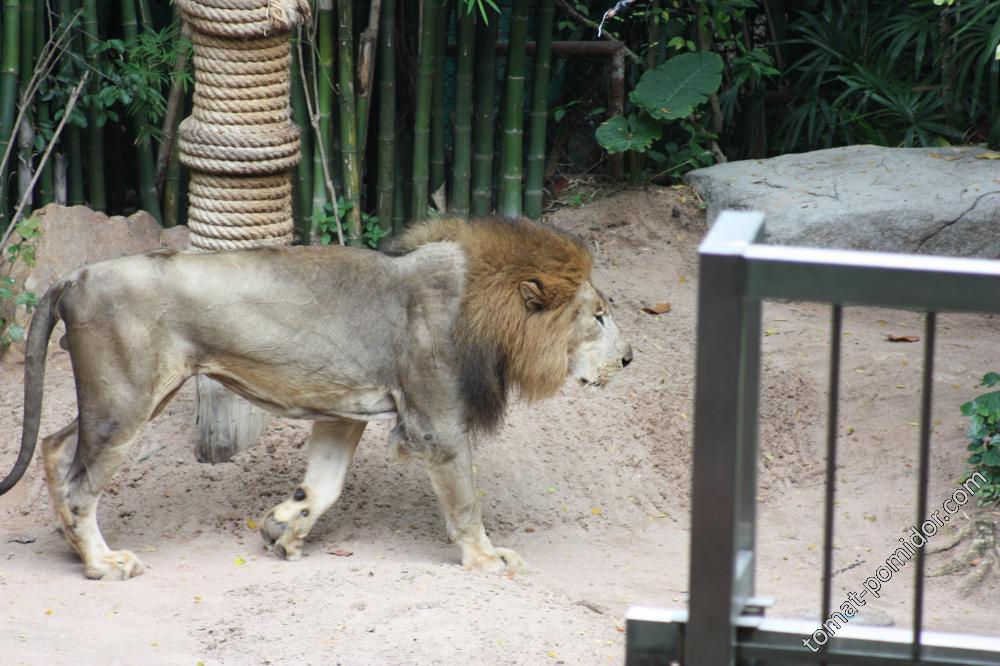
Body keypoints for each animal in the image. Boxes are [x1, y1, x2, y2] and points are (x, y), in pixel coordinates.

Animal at [0, 217, 632, 576]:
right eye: (598, 316)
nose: (629, 359)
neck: (481, 310)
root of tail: (74, 276)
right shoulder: (437, 423)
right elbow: (464, 502)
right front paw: (485, 558)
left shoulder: (343, 411)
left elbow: (322, 486)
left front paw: (283, 530)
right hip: (126, 401)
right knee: (80, 482)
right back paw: (101, 563)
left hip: (126, 398)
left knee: (56, 447)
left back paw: (71, 544)